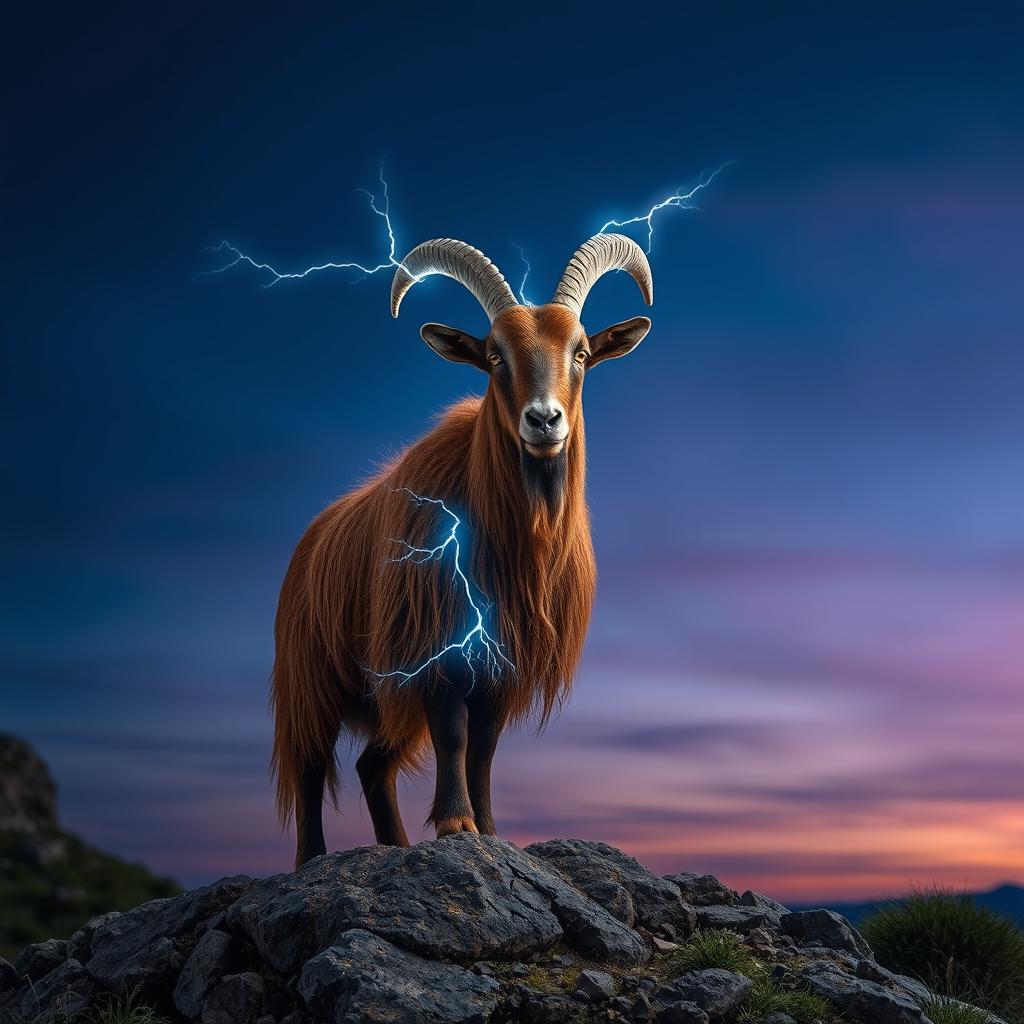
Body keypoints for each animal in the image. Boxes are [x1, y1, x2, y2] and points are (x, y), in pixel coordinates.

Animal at [272, 232, 655, 864]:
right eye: (495, 356)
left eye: (580, 353)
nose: (544, 420)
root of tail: (308, 541)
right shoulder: (438, 645)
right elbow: (453, 733)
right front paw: (456, 824)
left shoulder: (500, 662)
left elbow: (484, 746)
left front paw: (491, 829)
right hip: (312, 678)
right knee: (308, 766)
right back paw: (311, 861)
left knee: (372, 765)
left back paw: (397, 845)